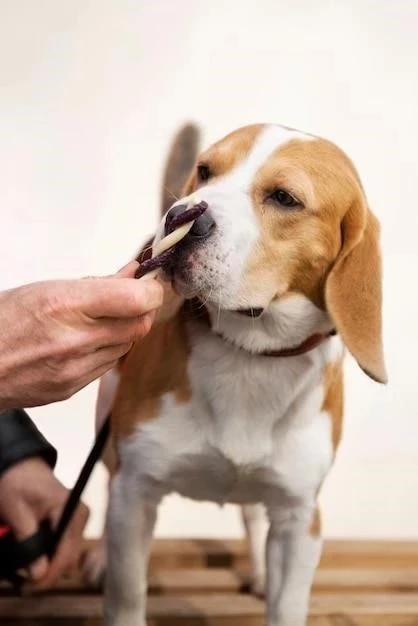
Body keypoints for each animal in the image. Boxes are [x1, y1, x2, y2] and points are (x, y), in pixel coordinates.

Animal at [90, 123, 386, 624]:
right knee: (104, 480)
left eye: (284, 198)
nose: (181, 214)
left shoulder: (299, 519)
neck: (248, 353)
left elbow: (287, 606)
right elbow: (127, 598)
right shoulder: (135, 495)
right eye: (206, 171)